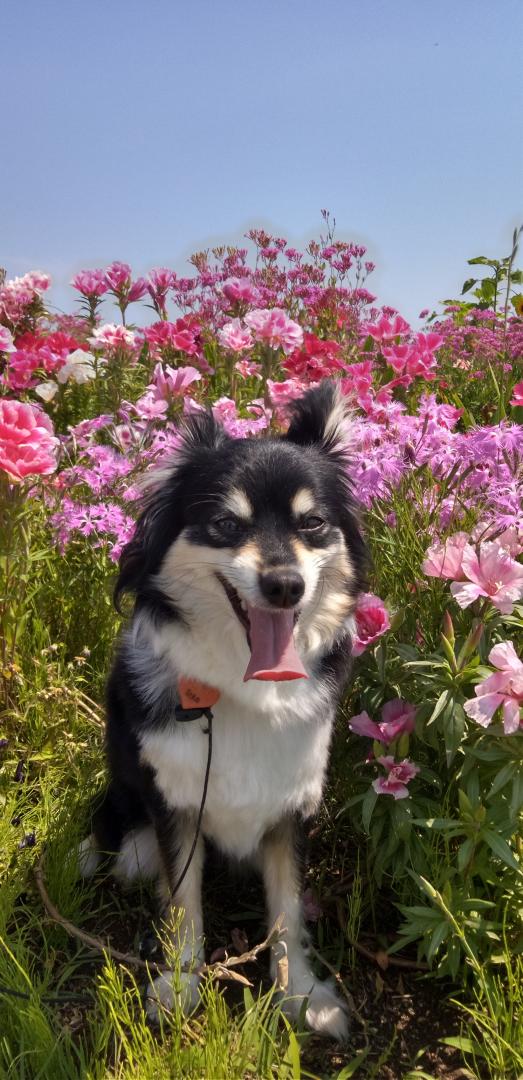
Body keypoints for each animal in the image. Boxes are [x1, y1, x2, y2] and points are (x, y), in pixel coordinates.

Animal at [79, 380, 365, 1036]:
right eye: (225, 524)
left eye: (314, 523)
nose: (285, 584)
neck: (243, 685)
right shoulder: (176, 801)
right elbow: (184, 900)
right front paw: (182, 986)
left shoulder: (292, 807)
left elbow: (287, 908)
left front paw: (301, 994)